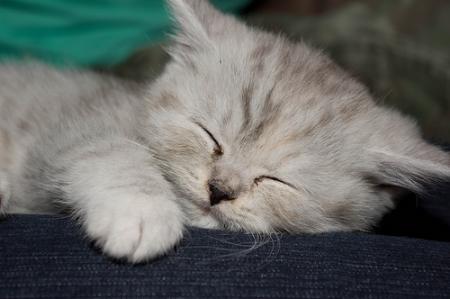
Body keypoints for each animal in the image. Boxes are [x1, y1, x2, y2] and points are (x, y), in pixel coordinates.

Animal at [0, 0, 450, 262]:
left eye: (276, 180)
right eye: (210, 136)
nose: (219, 189)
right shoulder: (62, 134)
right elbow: (111, 151)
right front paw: (141, 211)